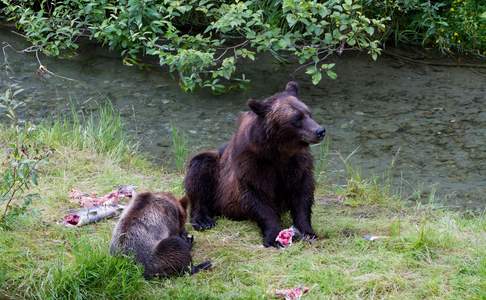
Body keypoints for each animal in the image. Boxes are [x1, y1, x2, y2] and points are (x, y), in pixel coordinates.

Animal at [184, 81, 324, 247]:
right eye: (296, 118)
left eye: (309, 113)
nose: (320, 130)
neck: (278, 151)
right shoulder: (253, 163)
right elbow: (257, 196)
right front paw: (273, 237)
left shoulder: (296, 163)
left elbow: (302, 194)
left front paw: (308, 232)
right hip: (217, 179)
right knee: (200, 168)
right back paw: (203, 220)